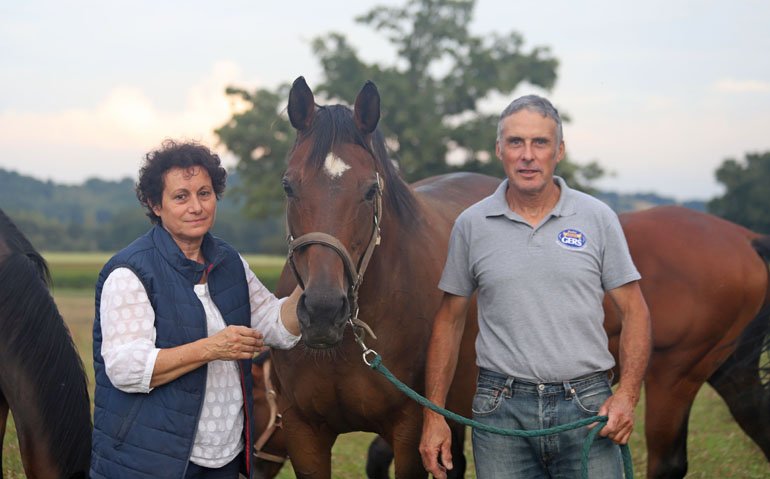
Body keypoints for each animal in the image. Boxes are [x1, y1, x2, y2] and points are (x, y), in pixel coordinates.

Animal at [266, 77, 770, 478]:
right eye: (288, 185)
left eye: (370, 190)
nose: (324, 311)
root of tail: (744, 239)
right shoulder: (306, 435)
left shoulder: (409, 431)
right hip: (727, 373)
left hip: (673, 377)